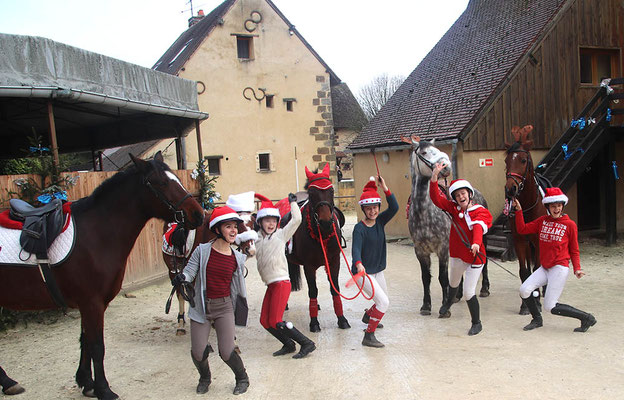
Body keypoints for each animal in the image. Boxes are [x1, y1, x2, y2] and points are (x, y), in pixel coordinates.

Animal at [286, 164, 348, 332]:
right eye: (312, 193)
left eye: (331, 191)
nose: (326, 222)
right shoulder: (309, 266)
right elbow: (313, 291)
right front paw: (314, 322)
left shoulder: (334, 262)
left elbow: (335, 288)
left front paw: (342, 319)